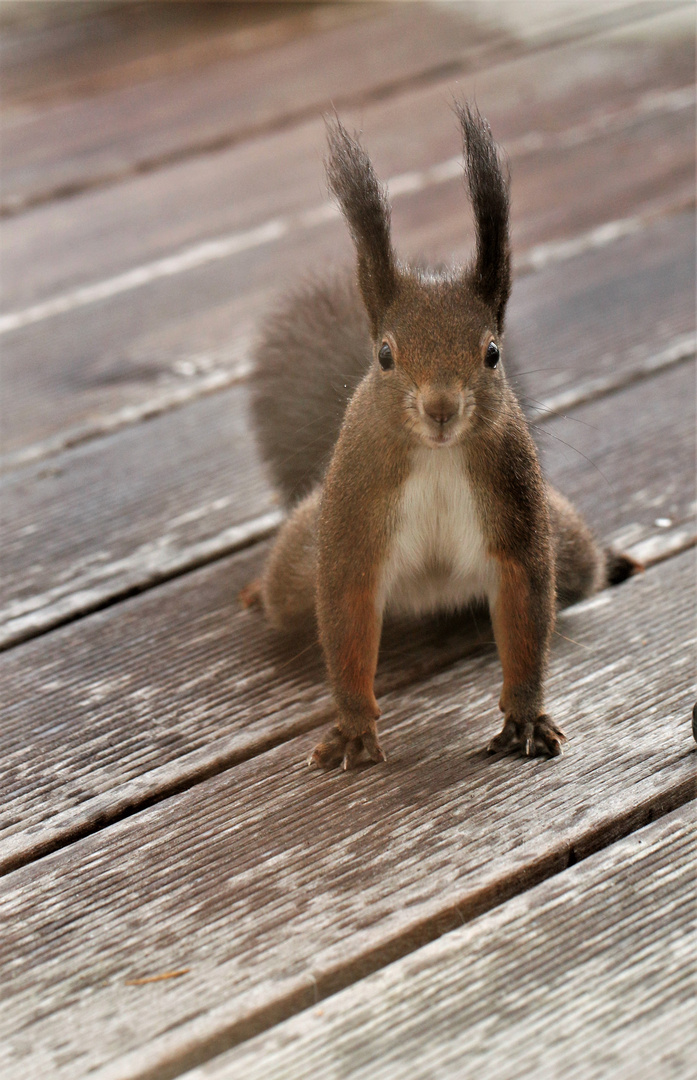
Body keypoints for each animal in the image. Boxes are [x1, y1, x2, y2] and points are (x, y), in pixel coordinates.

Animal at [242, 103, 639, 768]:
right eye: (384, 355)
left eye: (492, 353)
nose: (440, 408)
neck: (435, 456)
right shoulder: (353, 518)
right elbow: (346, 613)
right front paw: (354, 725)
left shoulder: (516, 508)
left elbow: (526, 608)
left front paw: (524, 717)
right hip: (300, 565)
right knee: (288, 592)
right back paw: (253, 593)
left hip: (567, 543)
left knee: (577, 566)